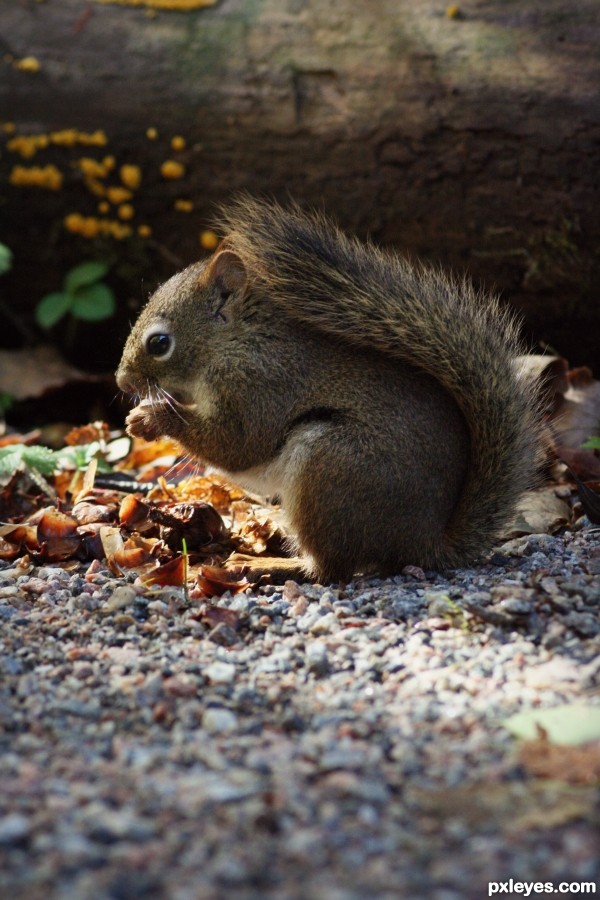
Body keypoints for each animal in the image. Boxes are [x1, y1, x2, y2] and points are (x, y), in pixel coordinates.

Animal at [116, 195, 540, 584]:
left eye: (159, 343)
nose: (122, 382)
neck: (235, 342)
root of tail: (425, 542)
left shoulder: (259, 386)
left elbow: (236, 444)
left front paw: (152, 419)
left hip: (329, 468)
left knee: (331, 569)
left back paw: (267, 565)